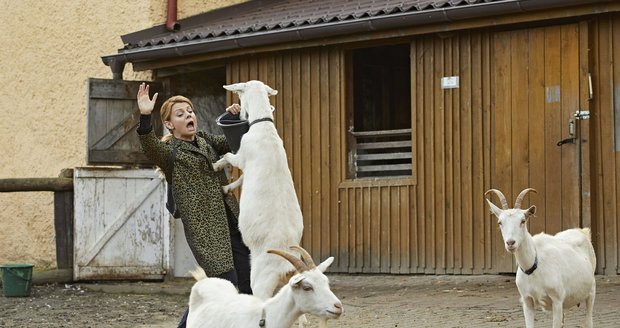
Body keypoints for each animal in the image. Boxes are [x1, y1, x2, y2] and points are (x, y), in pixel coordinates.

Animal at [213, 80, 306, 302]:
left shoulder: (242, 156)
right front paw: (226, 187)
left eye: (240, 95)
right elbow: (241, 178)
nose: (239, 114)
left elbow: (229, 156)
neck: (264, 126)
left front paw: (216, 166)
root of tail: (288, 267)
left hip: (261, 280)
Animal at [484, 187, 596, 328]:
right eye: (500, 222)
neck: (534, 265)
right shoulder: (527, 300)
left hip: (591, 292)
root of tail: (582, 231)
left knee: (588, 320)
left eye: (523, 221)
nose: (510, 243)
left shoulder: (557, 300)